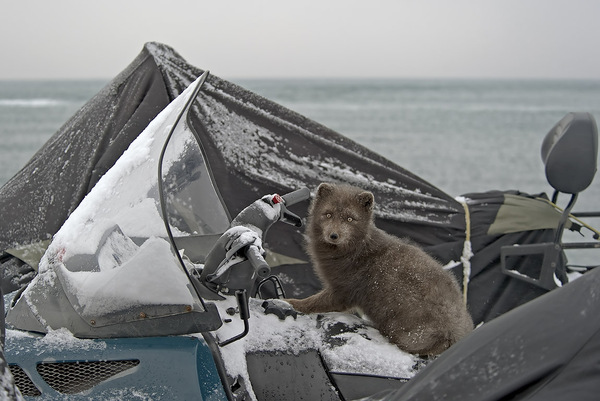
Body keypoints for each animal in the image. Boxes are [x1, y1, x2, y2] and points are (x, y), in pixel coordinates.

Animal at [288, 183, 474, 354]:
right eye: (328, 214)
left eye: (350, 219)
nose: (334, 235)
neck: (358, 249)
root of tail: (456, 334)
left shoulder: (344, 289)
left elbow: (315, 302)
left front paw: (289, 302)